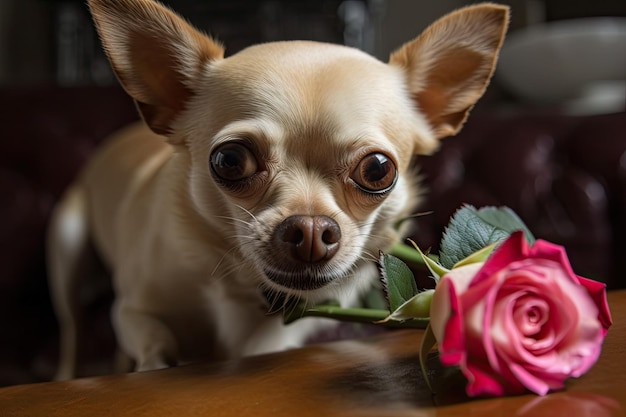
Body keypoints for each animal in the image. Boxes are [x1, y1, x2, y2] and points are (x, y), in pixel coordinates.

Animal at [47, 0, 508, 378]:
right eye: (230, 161)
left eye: (377, 170)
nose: (310, 231)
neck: (243, 290)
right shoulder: (130, 311)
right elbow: (153, 339)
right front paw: (157, 362)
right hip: (66, 247)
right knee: (71, 328)